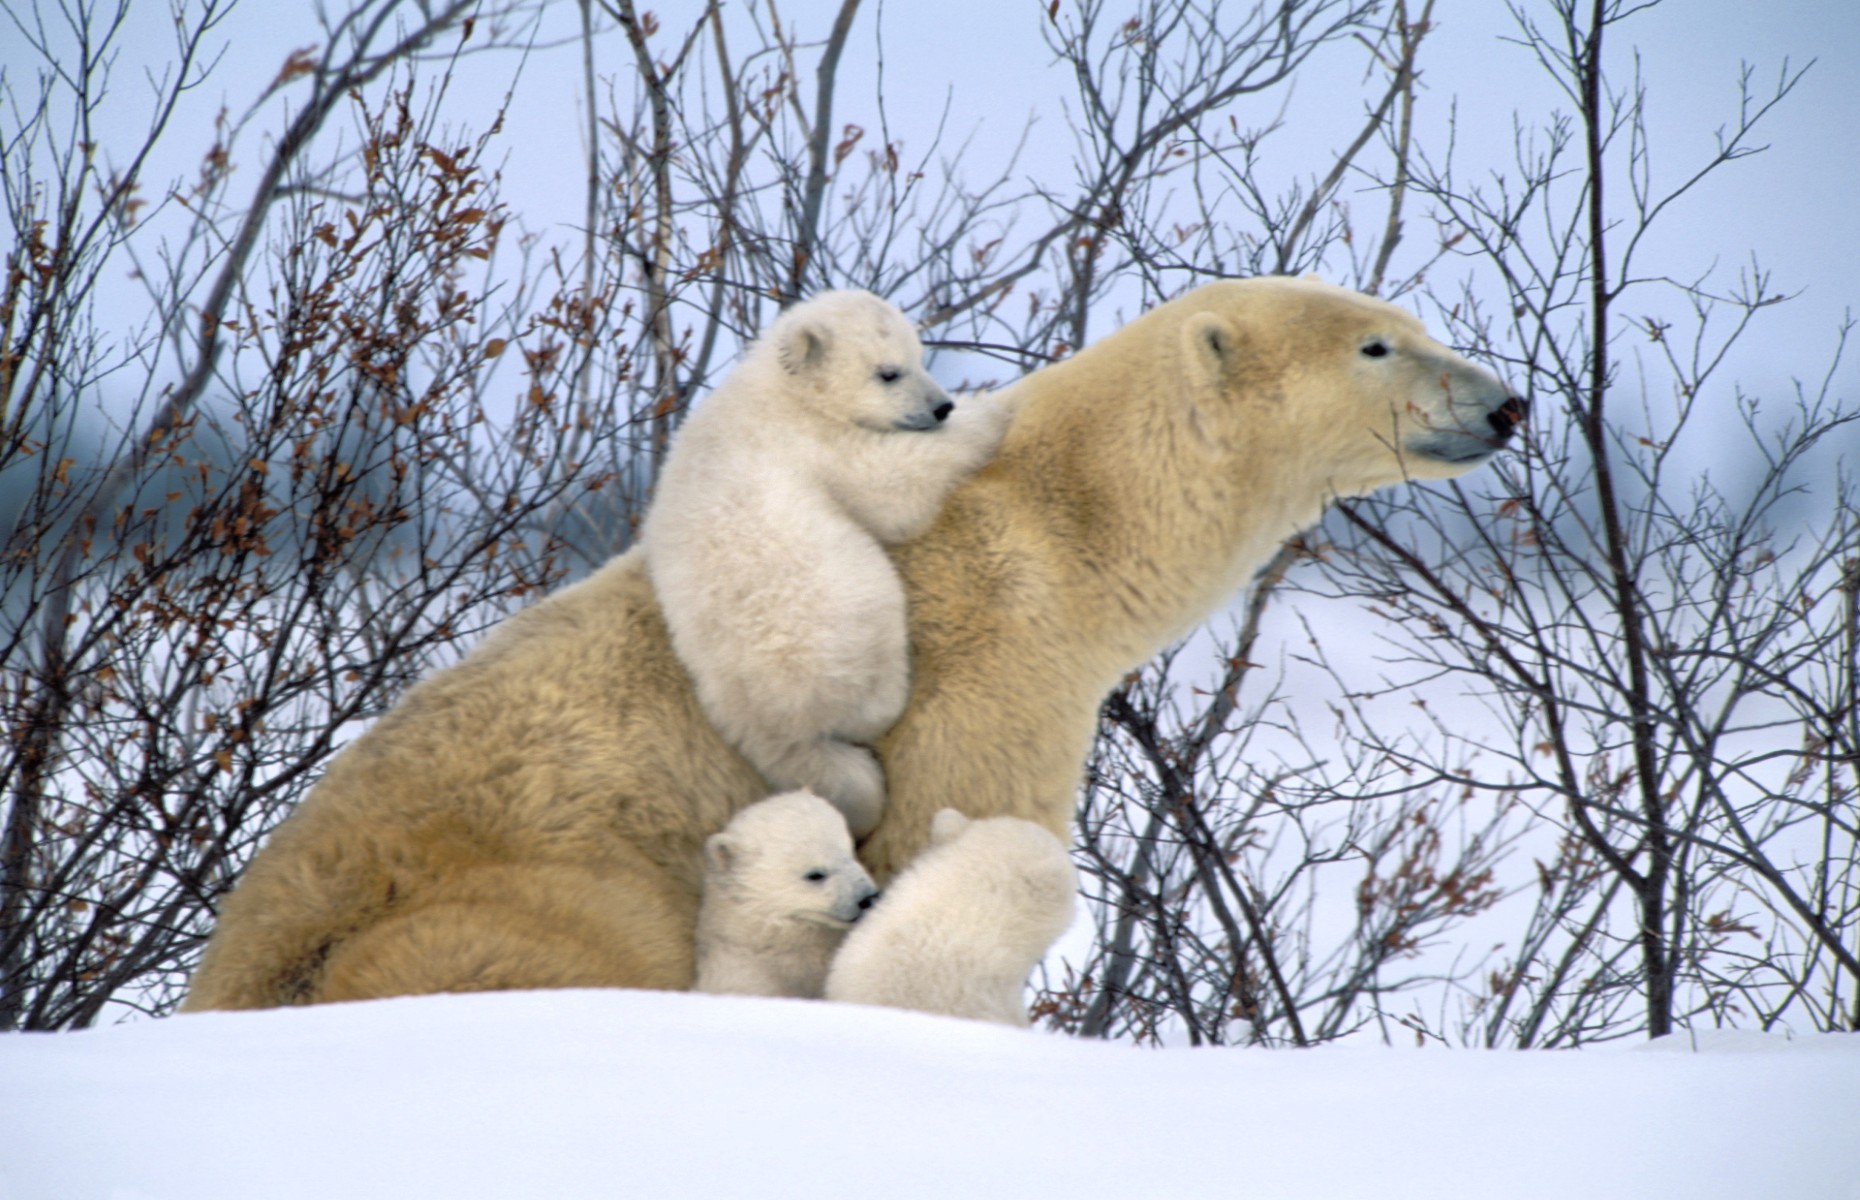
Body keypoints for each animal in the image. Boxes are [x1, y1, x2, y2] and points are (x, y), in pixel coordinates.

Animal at [647, 288, 1011, 837]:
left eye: (918, 355)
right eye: (888, 372)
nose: (942, 406)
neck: (784, 392)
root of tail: (772, 720)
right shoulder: (814, 443)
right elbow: (891, 486)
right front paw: (987, 412)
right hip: (842, 611)